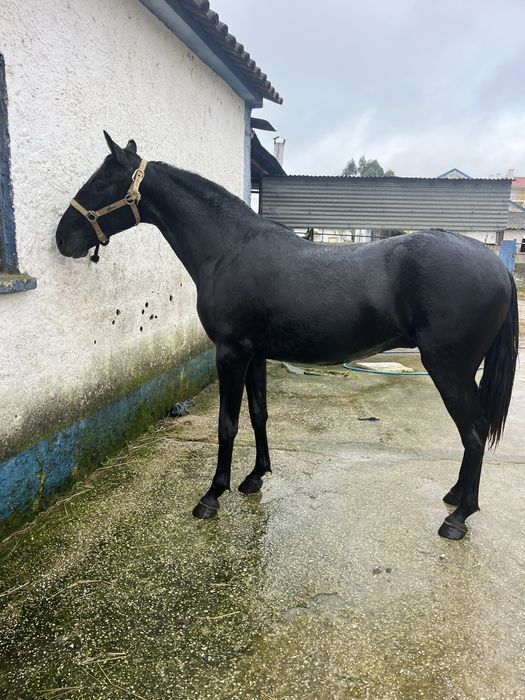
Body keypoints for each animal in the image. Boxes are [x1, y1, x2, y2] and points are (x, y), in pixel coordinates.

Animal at [56, 133, 519, 540]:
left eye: (102, 182)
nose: (63, 238)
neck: (229, 249)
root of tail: (498, 267)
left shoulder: (230, 353)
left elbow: (228, 424)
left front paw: (212, 495)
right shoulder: (255, 354)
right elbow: (259, 414)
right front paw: (255, 477)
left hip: (448, 369)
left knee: (474, 431)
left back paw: (459, 517)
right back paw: (455, 496)